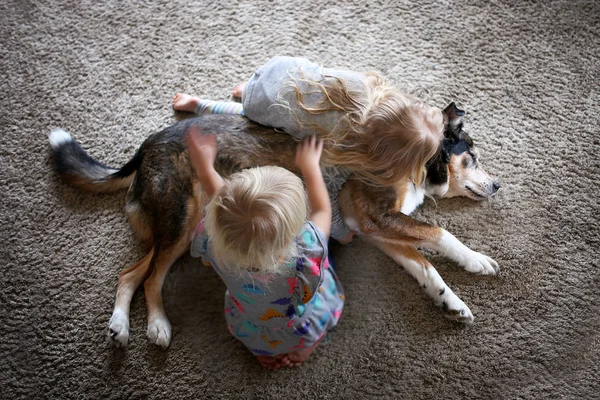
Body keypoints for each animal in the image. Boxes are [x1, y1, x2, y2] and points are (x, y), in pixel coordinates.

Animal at [47, 102, 500, 346]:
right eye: (472, 157)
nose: (498, 185)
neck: (422, 159)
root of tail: (145, 147)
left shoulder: (376, 230)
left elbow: (424, 266)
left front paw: (450, 302)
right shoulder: (377, 216)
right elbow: (440, 235)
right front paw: (476, 261)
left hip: (182, 227)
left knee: (130, 273)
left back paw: (119, 327)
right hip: (183, 217)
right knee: (151, 276)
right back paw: (157, 325)